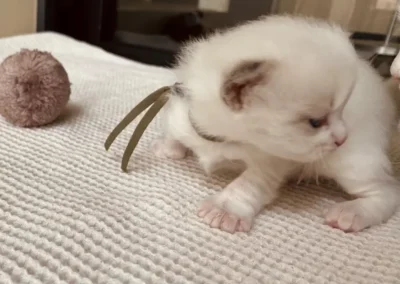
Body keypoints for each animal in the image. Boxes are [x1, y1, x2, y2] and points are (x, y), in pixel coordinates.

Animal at [152, 15, 398, 233]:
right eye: (316, 122)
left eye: (341, 112)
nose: (343, 138)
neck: (226, 140)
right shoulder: (183, 113)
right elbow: (174, 129)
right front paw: (168, 147)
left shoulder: (272, 161)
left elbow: (249, 183)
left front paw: (226, 210)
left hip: (350, 162)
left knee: (388, 189)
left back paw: (353, 212)